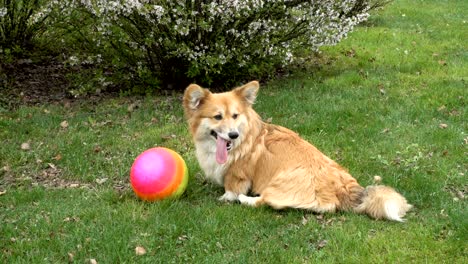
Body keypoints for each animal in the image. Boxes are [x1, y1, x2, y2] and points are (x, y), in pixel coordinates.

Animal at [183, 81, 414, 222]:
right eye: (217, 117)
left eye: (235, 115)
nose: (233, 135)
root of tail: (344, 188)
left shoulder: (237, 173)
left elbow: (232, 188)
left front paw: (226, 198)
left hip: (278, 183)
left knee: (266, 201)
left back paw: (246, 200)